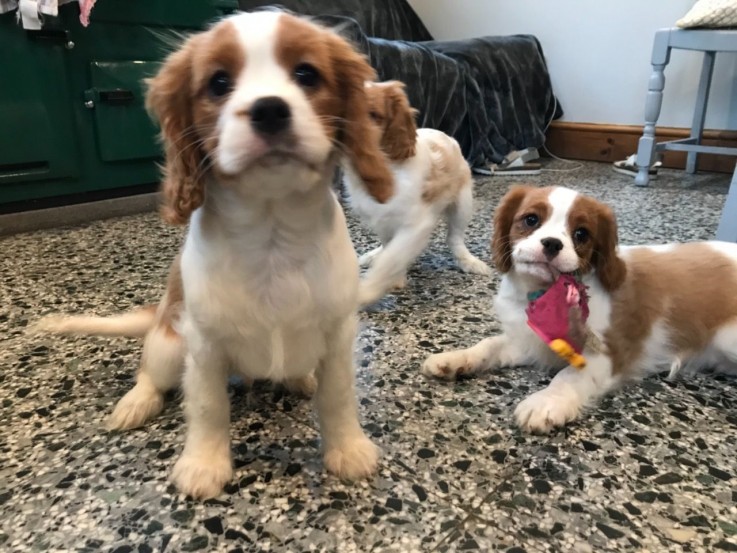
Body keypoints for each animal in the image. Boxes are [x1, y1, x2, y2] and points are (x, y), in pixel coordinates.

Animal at [35, 10, 394, 498]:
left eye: (306, 74)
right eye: (219, 83)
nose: (269, 108)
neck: (271, 230)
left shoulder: (338, 334)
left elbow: (338, 396)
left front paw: (348, 449)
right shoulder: (204, 346)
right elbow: (208, 407)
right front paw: (203, 465)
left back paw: (300, 377)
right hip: (170, 343)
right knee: (150, 372)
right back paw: (136, 402)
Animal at [342, 80, 492, 308]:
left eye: (373, 114)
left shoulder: (417, 223)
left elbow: (393, 258)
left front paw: (368, 290)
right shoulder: (381, 219)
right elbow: (390, 249)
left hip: (462, 203)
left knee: (455, 238)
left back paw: (468, 261)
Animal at [420, 184, 736, 432]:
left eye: (581, 234)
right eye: (531, 219)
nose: (551, 243)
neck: (543, 293)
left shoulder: (607, 354)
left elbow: (568, 376)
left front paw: (545, 401)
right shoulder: (528, 341)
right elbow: (489, 344)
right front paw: (456, 358)